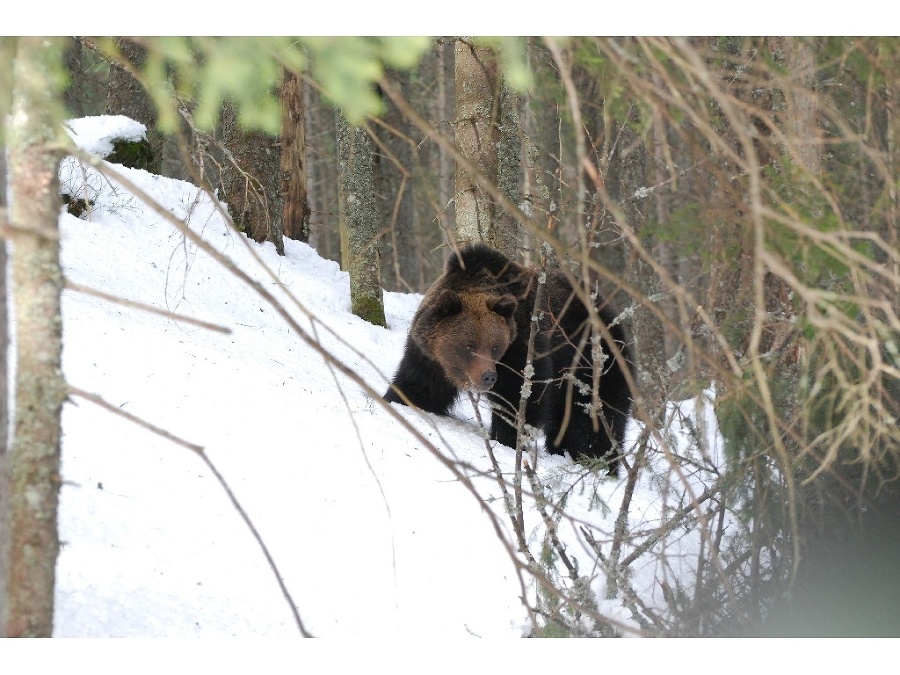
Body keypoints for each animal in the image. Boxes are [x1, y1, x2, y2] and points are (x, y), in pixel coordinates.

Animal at [384, 244, 632, 476]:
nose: (488, 376)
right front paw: (397, 400)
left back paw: (598, 463)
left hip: (593, 360)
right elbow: (419, 386)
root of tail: (606, 306)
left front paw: (507, 439)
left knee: (595, 419)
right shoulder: (429, 358)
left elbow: (519, 399)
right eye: (469, 346)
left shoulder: (522, 349)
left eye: (495, 346)